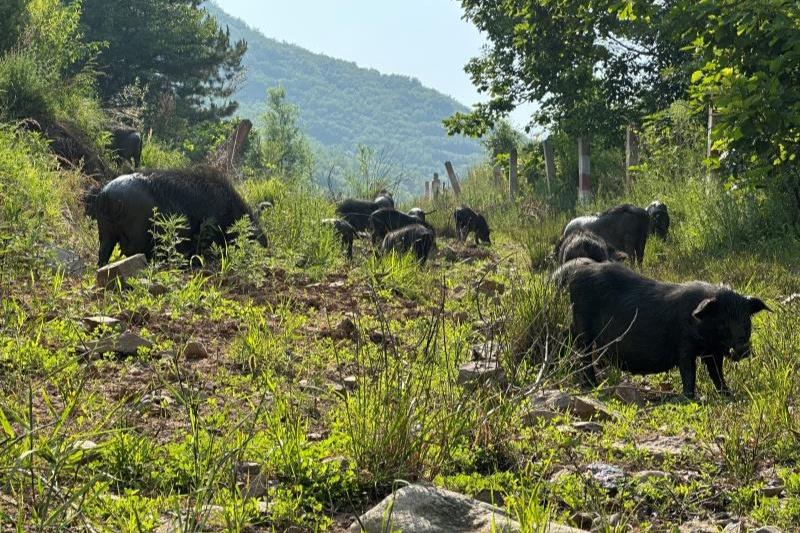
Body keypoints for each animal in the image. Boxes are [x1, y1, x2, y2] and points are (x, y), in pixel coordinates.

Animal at [94, 167, 268, 264]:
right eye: (251, 232)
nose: (266, 244)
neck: (228, 209)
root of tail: (107, 195)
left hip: (105, 231)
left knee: (103, 252)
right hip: (135, 232)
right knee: (130, 251)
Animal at [556, 258, 768, 400]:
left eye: (746, 321)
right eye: (722, 321)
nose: (742, 349)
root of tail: (575, 273)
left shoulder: (713, 352)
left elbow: (717, 374)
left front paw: (729, 395)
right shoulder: (685, 346)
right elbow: (689, 373)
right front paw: (690, 398)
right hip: (583, 330)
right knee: (584, 357)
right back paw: (591, 385)